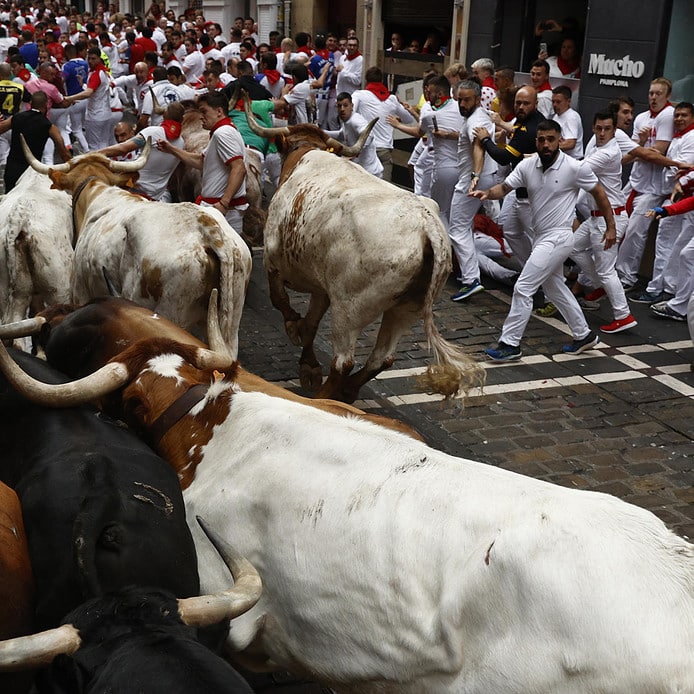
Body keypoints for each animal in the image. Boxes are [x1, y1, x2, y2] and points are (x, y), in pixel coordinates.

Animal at [245, 99, 484, 402]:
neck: (305, 155)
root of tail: (426, 224)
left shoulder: (274, 261)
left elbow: (281, 302)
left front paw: (293, 328)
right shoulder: (323, 288)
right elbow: (311, 324)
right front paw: (309, 366)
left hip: (349, 309)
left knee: (343, 361)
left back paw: (325, 398)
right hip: (406, 307)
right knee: (382, 358)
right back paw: (348, 390)